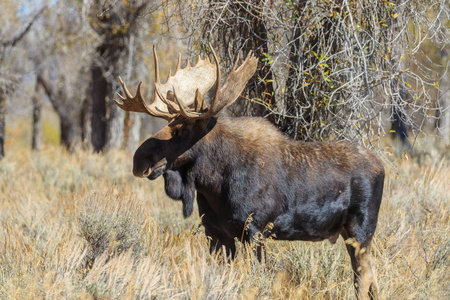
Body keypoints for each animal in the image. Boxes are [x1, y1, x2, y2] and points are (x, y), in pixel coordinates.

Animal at [115, 45, 384, 300]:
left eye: (182, 129)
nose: (139, 160)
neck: (213, 184)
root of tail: (382, 165)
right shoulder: (215, 233)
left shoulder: (255, 230)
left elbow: (258, 277)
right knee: (371, 279)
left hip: (361, 231)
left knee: (363, 279)